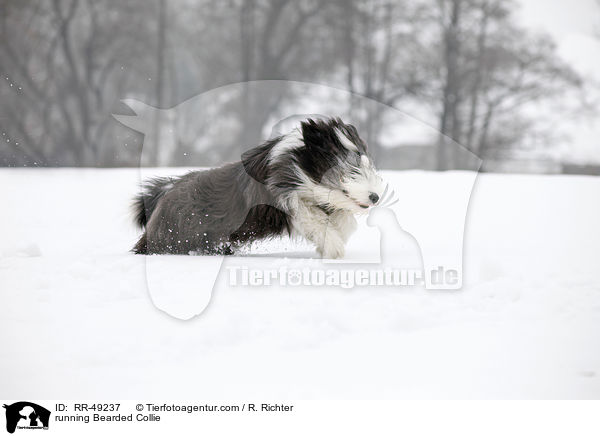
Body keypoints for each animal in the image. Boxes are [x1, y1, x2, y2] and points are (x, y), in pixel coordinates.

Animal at [132, 117, 384, 258]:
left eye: (365, 165)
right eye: (350, 170)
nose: (375, 197)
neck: (298, 163)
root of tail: (165, 193)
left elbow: (339, 215)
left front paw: (339, 231)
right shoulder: (283, 199)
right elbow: (313, 218)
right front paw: (334, 249)